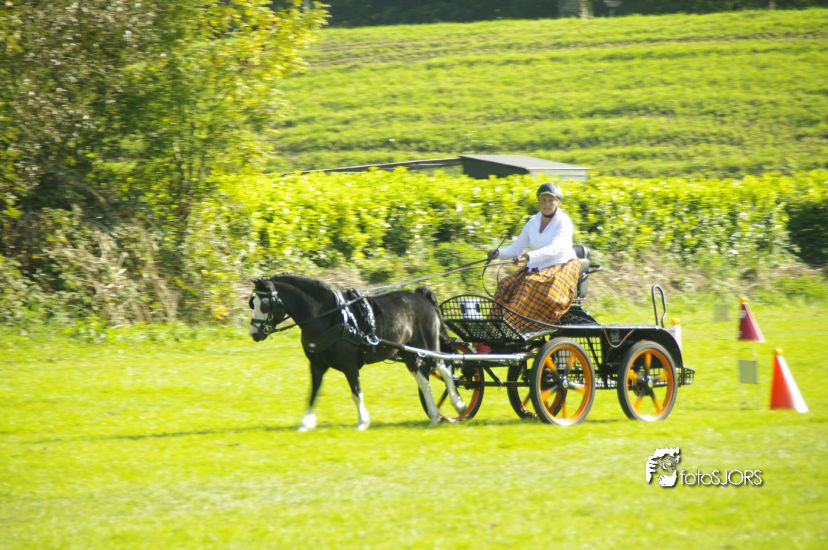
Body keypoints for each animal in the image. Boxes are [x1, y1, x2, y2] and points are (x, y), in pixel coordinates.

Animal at [248, 274, 466, 431]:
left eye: (264, 304)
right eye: (253, 303)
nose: (254, 333)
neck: (329, 317)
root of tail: (421, 296)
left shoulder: (350, 366)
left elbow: (356, 392)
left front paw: (363, 421)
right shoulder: (317, 365)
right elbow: (314, 392)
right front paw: (306, 422)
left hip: (428, 347)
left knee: (445, 369)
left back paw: (459, 405)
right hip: (409, 354)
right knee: (423, 380)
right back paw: (435, 416)